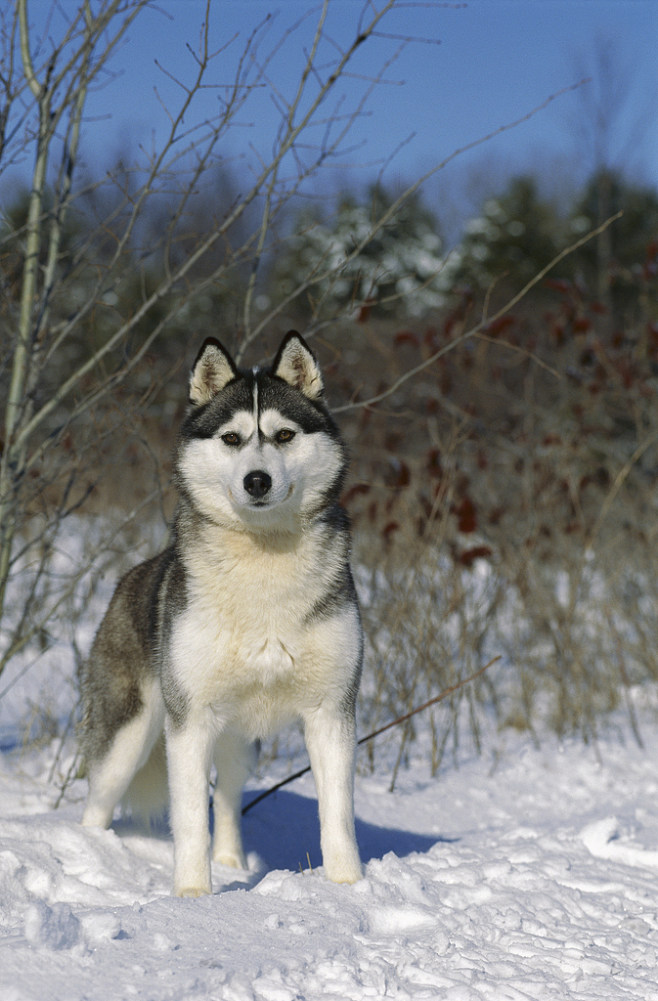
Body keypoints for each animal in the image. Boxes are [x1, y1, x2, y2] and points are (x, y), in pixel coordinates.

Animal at [80, 332, 364, 896]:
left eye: (284, 435)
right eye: (232, 439)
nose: (257, 481)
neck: (263, 562)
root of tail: (133, 576)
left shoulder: (331, 712)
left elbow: (337, 813)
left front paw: (349, 888)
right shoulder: (190, 721)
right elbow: (190, 817)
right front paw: (193, 895)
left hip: (241, 742)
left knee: (229, 799)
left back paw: (232, 863)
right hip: (128, 735)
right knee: (97, 803)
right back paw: (90, 854)